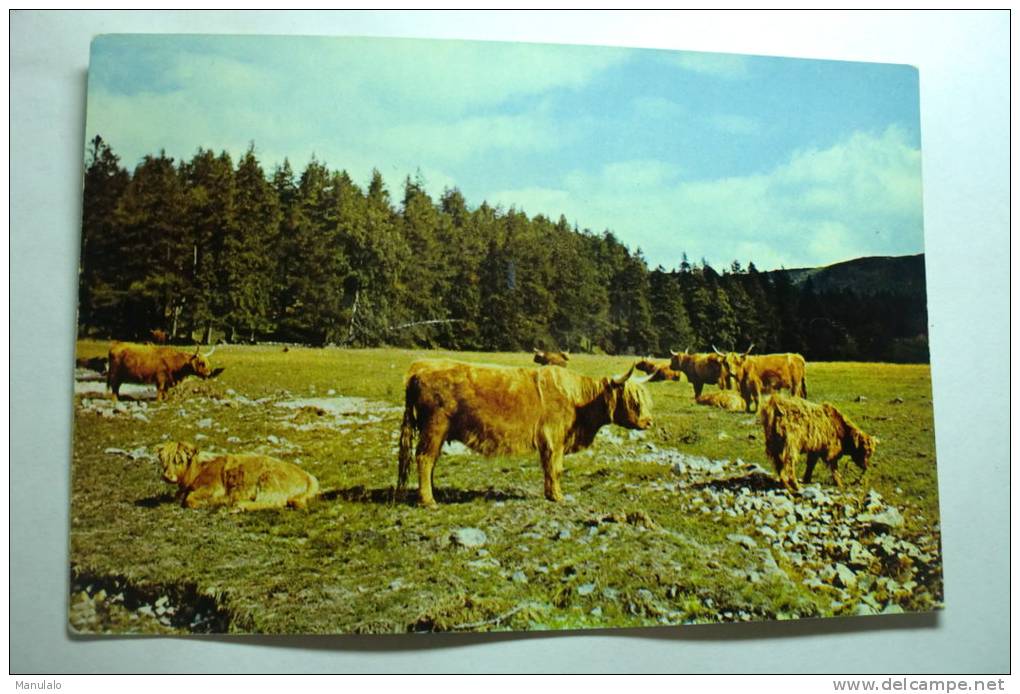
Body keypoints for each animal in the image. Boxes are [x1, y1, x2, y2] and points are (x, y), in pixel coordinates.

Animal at [156, 444, 318, 510]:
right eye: (164, 459)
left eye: (179, 460)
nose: (167, 476)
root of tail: (307, 476)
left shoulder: (214, 487)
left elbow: (189, 499)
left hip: (268, 479)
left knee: (274, 502)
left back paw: (239, 505)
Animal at [397, 357, 652, 504]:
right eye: (633, 400)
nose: (649, 422)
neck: (579, 402)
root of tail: (418, 370)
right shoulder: (553, 438)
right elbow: (555, 468)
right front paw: (557, 496)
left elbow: (552, 468)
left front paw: (551, 494)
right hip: (435, 426)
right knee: (425, 458)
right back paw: (428, 500)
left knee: (430, 460)